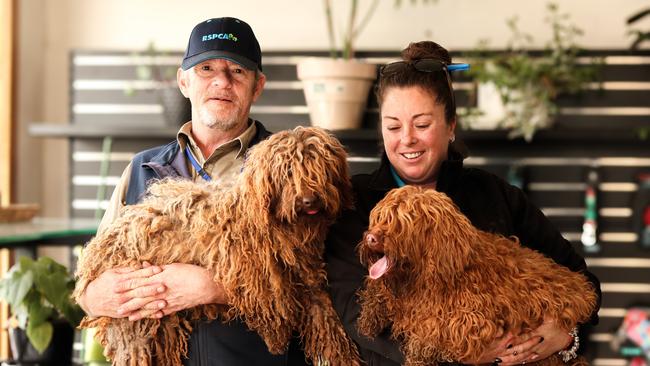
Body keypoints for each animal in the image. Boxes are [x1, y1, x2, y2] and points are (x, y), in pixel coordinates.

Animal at [74, 126, 362, 366]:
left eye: (321, 170)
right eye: (287, 171)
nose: (309, 200)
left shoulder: (310, 283)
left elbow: (329, 324)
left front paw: (345, 355)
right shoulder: (255, 279)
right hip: (134, 325)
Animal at [356, 186, 596, 366]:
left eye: (404, 221)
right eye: (381, 217)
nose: (370, 238)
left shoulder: (474, 319)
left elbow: (435, 328)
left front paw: (418, 351)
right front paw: (372, 310)